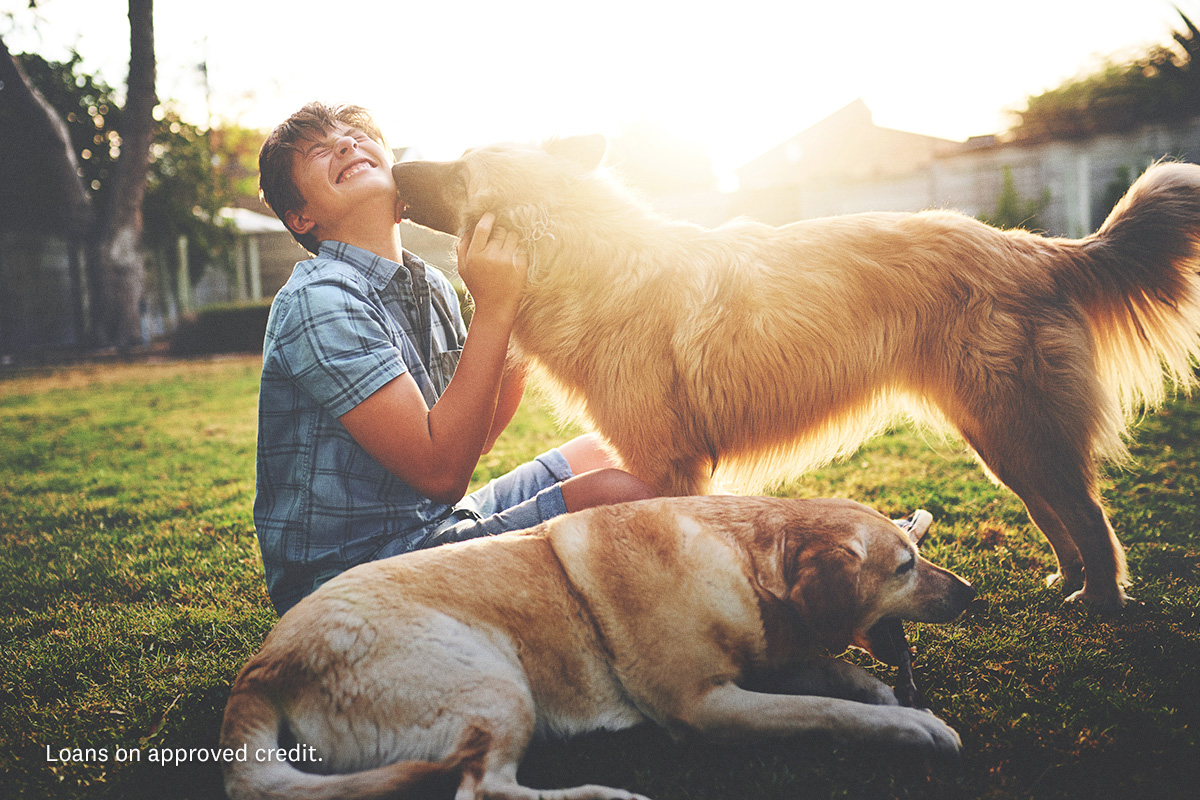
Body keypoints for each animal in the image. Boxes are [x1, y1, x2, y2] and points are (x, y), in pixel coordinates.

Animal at [223, 496, 974, 796]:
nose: (970, 592)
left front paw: (888, 692)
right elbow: (824, 709)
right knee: (483, 790)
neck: (739, 558)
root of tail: (260, 669)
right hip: (498, 687)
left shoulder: (759, 656)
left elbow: (827, 666)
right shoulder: (704, 707)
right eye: (905, 566)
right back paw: (602, 795)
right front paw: (914, 726)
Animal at [391, 145, 1200, 614]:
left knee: (1088, 516)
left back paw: (1099, 605)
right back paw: (1069, 584)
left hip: (1019, 428)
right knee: (1056, 512)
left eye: (460, 172)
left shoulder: (668, 468)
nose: (392, 167)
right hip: (1002, 437)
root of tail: (1033, 249)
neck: (582, 253)